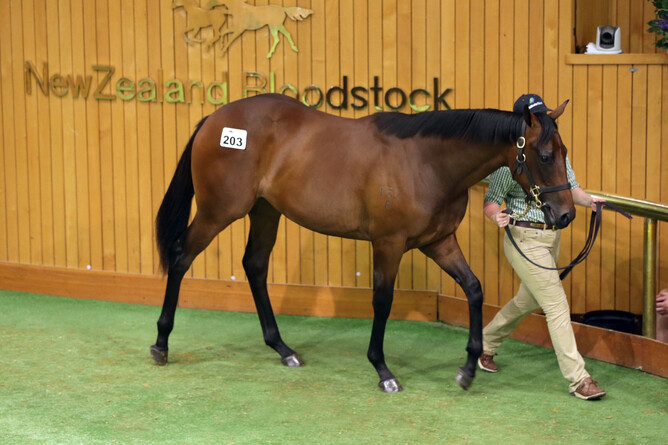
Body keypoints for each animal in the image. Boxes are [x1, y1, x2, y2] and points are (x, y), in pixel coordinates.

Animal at [150, 93, 574, 393]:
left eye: (564, 152)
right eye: (545, 154)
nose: (567, 214)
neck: (425, 162)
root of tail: (214, 120)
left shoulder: (439, 242)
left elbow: (473, 289)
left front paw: (468, 368)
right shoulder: (388, 244)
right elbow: (382, 302)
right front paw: (382, 369)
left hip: (265, 211)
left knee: (254, 265)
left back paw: (282, 348)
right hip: (219, 211)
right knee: (181, 256)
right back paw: (161, 343)